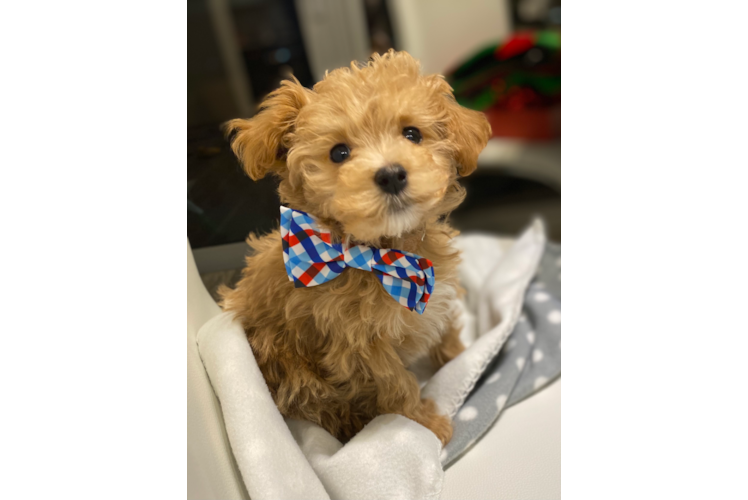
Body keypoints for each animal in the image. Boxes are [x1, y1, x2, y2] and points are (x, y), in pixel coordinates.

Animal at [219, 48, 494, 444]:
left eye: (412, 133)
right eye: (339, 153)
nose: (391, 174)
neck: (385, 253)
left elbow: (445, 332)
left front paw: (460, 358)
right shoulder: (360, 347)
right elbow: (396, 384)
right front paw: (426, 425)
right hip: (302, 379)